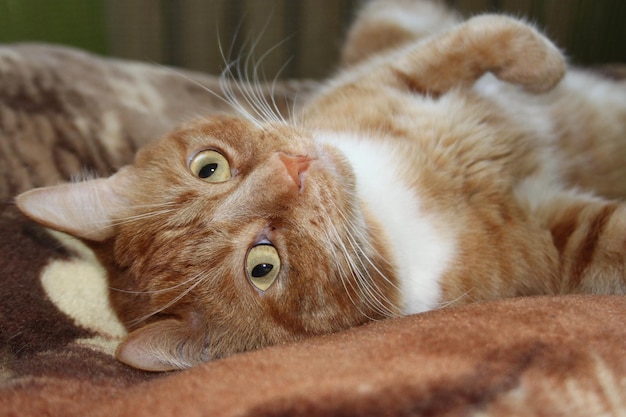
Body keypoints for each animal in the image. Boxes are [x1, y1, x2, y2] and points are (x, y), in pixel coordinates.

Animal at [15, 0, 626, 370]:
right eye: (263, 266)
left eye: (209, 167)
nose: (294, 166)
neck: (388, 207)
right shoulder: (556, 238)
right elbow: (611, 235)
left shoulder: (387, 64)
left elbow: (463, 41)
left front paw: (542, 65)